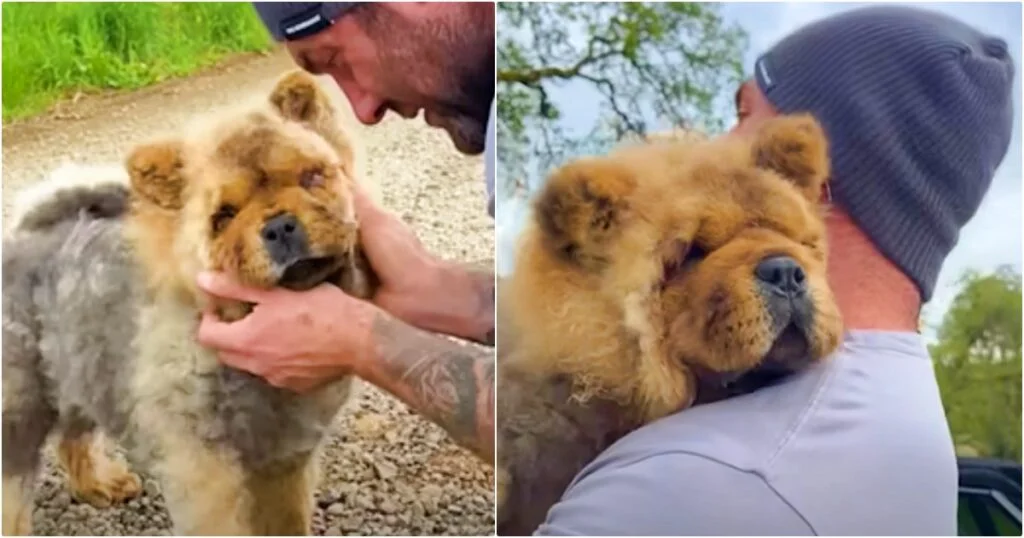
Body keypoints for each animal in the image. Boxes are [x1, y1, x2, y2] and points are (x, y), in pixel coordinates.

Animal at [2, 70, 378, 532]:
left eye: (311, 177)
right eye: (224, 217)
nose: (279, 226)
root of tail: (24, 231)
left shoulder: (286, 461)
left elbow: (287, 522)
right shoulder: (205, 469)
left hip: (78, 370)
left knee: (75, 432)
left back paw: (99, 484)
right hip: (20, 407)